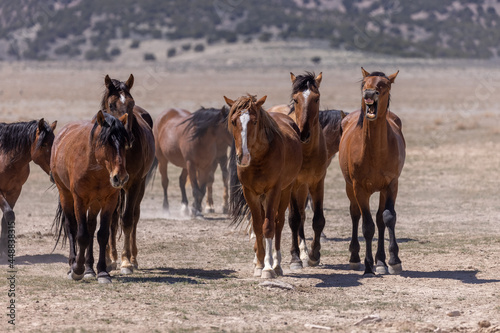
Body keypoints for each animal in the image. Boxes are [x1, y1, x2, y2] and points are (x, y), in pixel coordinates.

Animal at [0, 118, 56, 254]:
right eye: (44, 144)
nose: (54, 174)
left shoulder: (15, 191)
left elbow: (6, 218)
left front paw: (4, 250)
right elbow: (9, 213)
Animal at [51, 110, 130, 282]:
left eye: (124, 144)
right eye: (106, 142)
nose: (120, 177)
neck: (96, 169)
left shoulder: (109, 202)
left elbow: (102, 234)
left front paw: (102, 272)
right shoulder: (79, 201)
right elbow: (81, 235)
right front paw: (77, 269)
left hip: (94, 204)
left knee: (91, 227)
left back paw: (89, 269)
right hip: (65, 195)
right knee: (72, 228)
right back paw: (73, 264)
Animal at [100, 74, 155, 274]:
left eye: (131, 104)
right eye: (111, 105)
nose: (127, 137)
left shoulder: (134, 184)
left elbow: (127, 220)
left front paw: (125, 262)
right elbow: (108, 220)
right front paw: (108, 260)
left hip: (140, 186)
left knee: (134, 216)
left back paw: (133, 258)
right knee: (114, 218)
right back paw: (112, 257)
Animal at [226, 94, 302, 278]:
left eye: (254, 121)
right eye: (233, 121)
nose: (243, 157)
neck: (259, 159)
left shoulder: (273, 191)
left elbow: (268, 227)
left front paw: (268, 268)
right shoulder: (250, 192)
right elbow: (257, 226)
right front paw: (259, 264)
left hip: (285, 191)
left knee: (278, 223)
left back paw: (277, 265)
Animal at [338, 67, 404, 274]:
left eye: (384, 84)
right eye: (364, 83)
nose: (368, 94)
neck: (374, 151)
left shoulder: (391, 185)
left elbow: (388, 218)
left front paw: (393, 260)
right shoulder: (359, 188)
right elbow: (367, 225)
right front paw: (368, 265)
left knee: (380, 219)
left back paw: (381, 261)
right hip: (349, 188)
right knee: (355, 215)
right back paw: (355, 257)